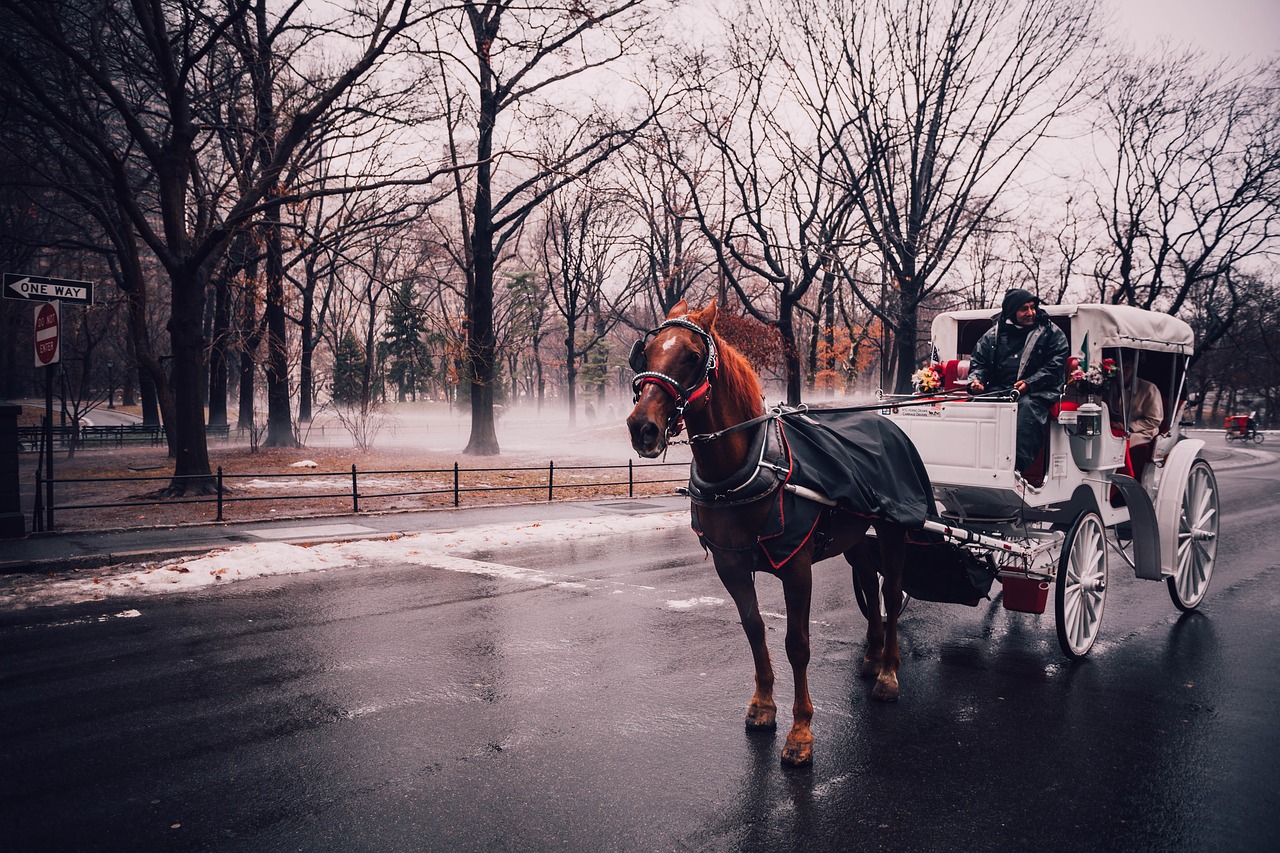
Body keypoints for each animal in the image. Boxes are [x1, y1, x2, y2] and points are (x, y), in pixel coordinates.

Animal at [622, 297, 906, 763]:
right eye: (644, 354)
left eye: (692, 356)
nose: (641, 427)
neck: (745, 466)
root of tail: (882, 422)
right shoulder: (730, 565)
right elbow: (754, 628)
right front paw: (763, 705)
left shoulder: (797, 567)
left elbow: (798, 643)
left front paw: (801, 730)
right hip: (853, 535)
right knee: (867, 577)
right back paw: (871, 655)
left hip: (893, 528)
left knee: (892, 592)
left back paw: (888, 673)